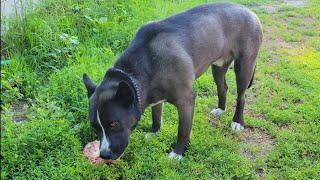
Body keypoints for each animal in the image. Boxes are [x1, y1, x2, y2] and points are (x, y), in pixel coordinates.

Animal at [83, 2, 262, 160]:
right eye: (94, 127)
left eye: (114, 124)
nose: (104, 155)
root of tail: (250, 12)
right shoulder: (154, 96)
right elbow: (156, 115)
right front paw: (154, 132)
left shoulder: (186, 101)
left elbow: (183, 130)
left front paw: (178, 153)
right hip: (218, 67)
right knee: (222, 87)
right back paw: (221, 109)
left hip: (244, 67)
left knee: (241, 96)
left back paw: (237, 121)